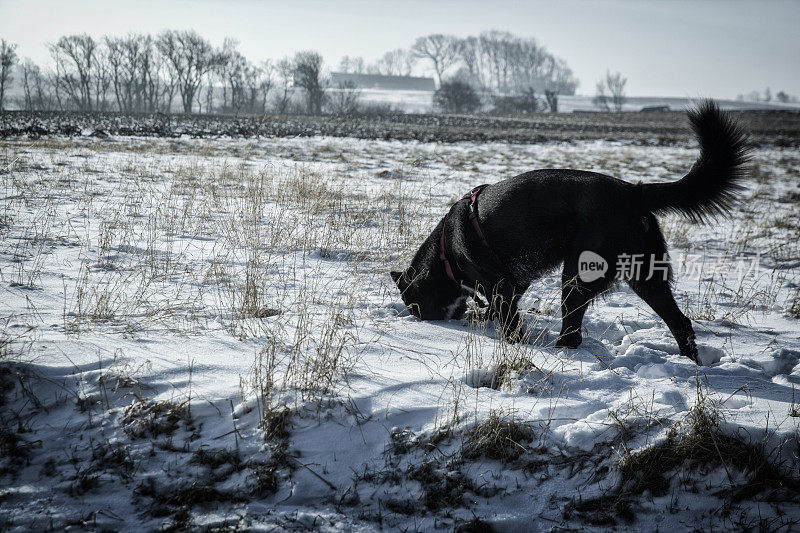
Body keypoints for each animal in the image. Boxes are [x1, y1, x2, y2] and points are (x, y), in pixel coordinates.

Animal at [394, 101, 752, 362]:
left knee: (574, 331)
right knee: (680, 322)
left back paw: (559, 354)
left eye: (412, 301)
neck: (447, 249)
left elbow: (509, 323)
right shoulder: (515, 283)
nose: (416, 318)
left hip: (577, 275)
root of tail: (633, 192)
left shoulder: (500, 286)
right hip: (646, 277)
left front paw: (514, 344)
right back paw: (691, 364)